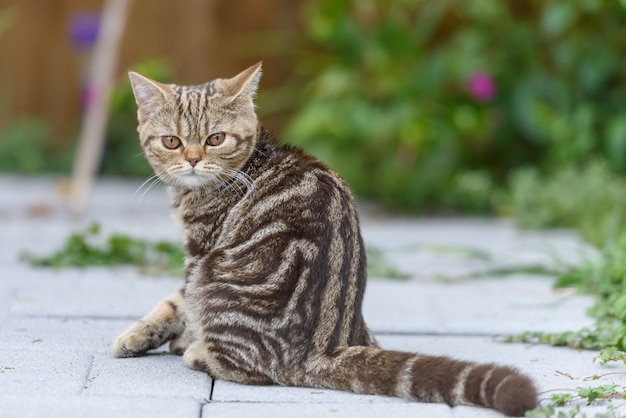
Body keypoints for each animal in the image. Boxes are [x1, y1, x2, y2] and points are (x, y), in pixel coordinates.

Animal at [112, 61, 536, 414]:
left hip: (214, 273)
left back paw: (199, 352)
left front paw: (170, 336)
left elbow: (181, 302)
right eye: (171, 141)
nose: (194, 159)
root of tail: (325, 346)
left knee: (252, 369)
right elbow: (173, 304)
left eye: (216, 138)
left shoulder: (200, 252)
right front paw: (139, 336)